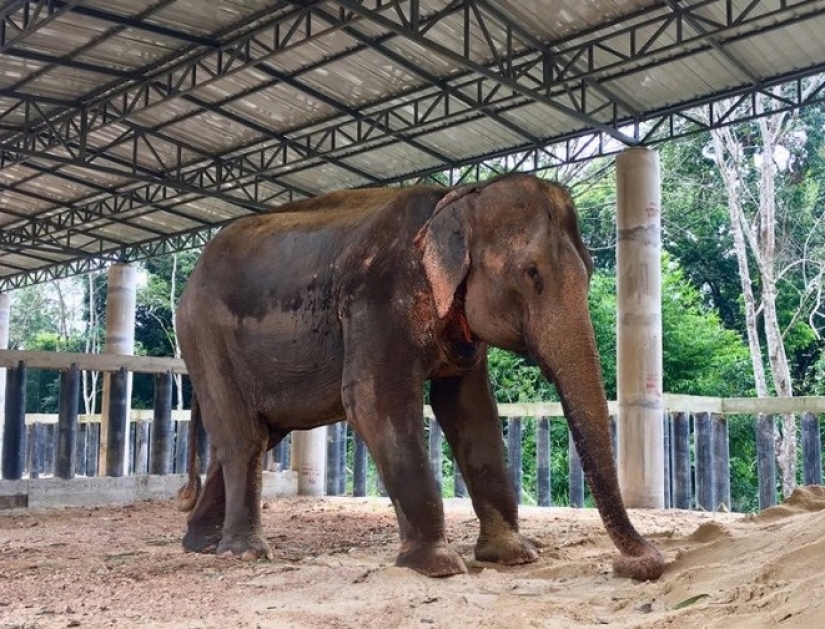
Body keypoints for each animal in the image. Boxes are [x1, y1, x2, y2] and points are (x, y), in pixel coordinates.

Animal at [175, 172, 665, 581]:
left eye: (589, 271)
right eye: (531, 273)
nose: (639, 564)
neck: (456, 199)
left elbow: (471, 410)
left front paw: (514, 556)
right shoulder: (376, 296)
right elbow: (373, 401)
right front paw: (437, 566)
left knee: (257, 434)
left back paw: (202, 545)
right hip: (203, 336)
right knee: (244, 437)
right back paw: (244, 553)